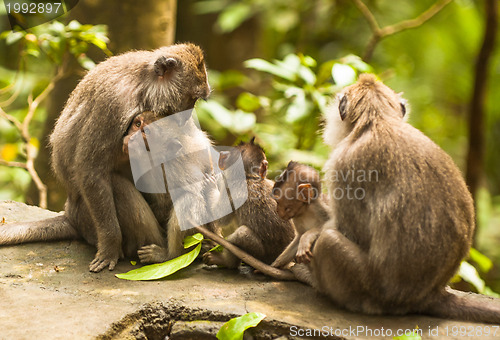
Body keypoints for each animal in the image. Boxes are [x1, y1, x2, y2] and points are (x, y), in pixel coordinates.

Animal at [0, 44, 211, 274]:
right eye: (191, 98)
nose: (187, 116)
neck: (143, 84)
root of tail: (71, 213)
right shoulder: (114, 105)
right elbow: (91, 170)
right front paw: (110, 247)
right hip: (93, 223)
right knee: (117, 185)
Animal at [203, 139, 296, 270]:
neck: (249, 177)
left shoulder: (230, 189)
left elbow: (221, 218)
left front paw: (211, 185)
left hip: (260, 255)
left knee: (240, 234)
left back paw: (226, 262)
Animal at [294, 74, 498, 324]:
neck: (378, 119)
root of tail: (428, 296)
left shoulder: (342, 164)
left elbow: (349, 230)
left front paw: (309, 236)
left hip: (368, 290)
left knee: (329, 241)